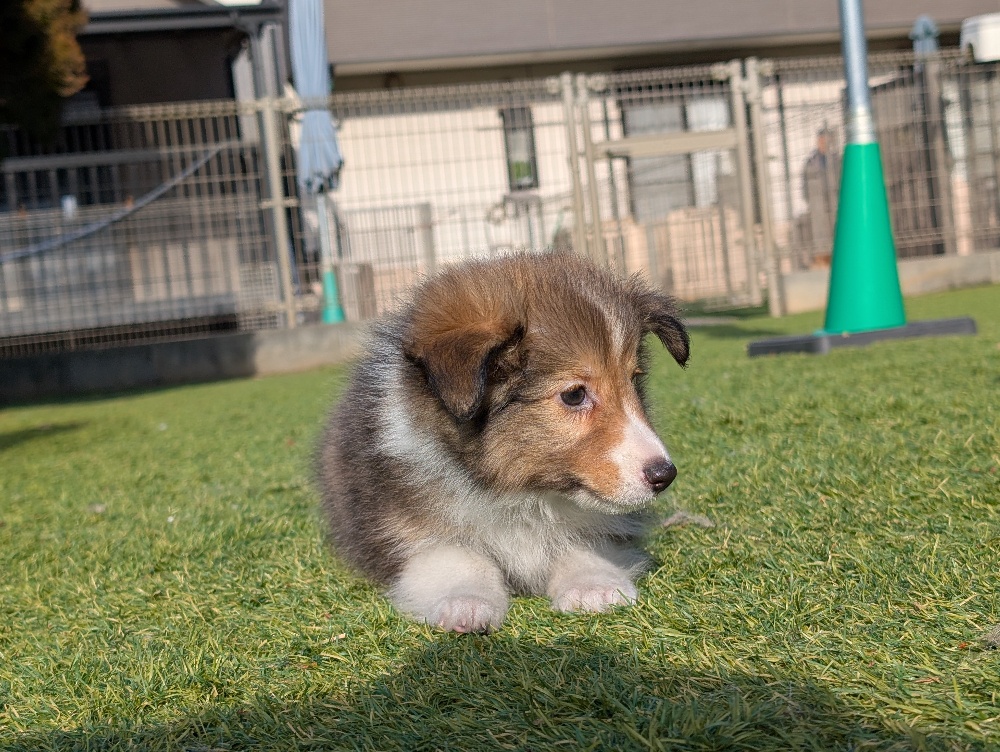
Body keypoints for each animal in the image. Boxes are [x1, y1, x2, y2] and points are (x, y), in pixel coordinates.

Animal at [316, 252, 689, 633]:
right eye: (574, 395)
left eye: (633, 380)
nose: (665, 475)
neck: (521, 493)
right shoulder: (402, 525)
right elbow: (457, 556)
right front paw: (466, 602)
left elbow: (585, 540)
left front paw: (595, 587)